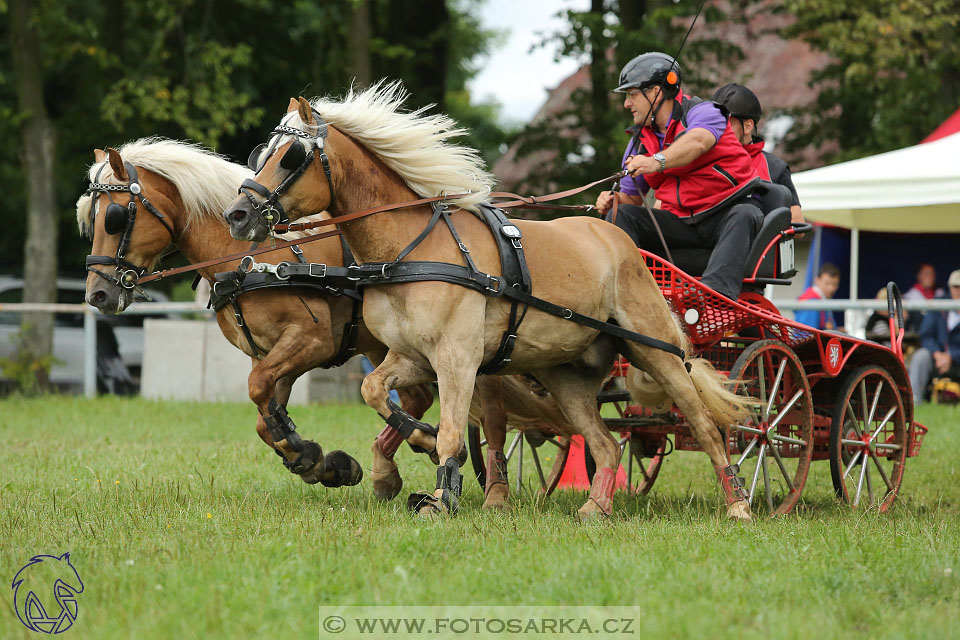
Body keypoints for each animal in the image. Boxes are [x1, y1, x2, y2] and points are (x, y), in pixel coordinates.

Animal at [77, 139, 440, 496]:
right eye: (89, 219)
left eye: (114, 217)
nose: (97, 294)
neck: (249, 261)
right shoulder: (266, 353)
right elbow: (264, 417)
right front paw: (318, 462)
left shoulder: (312, 341)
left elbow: (257, 388)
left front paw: (309, 455)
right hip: (382, 346)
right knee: (416, 397)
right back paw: (389, 469)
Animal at [221, 82, 752, 520]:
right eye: (261, 152)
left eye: (291, 156)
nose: (238, 214)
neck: (408, 249)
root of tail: (616, 237)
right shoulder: (410, 357)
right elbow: (373, 390)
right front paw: (406, 456)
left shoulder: (457, 359)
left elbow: (453, 430)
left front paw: (441, 493)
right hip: (567, 375)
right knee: (605, 444)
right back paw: (596, 507)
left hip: (654, 350)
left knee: (706, 425)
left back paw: (738, 504)